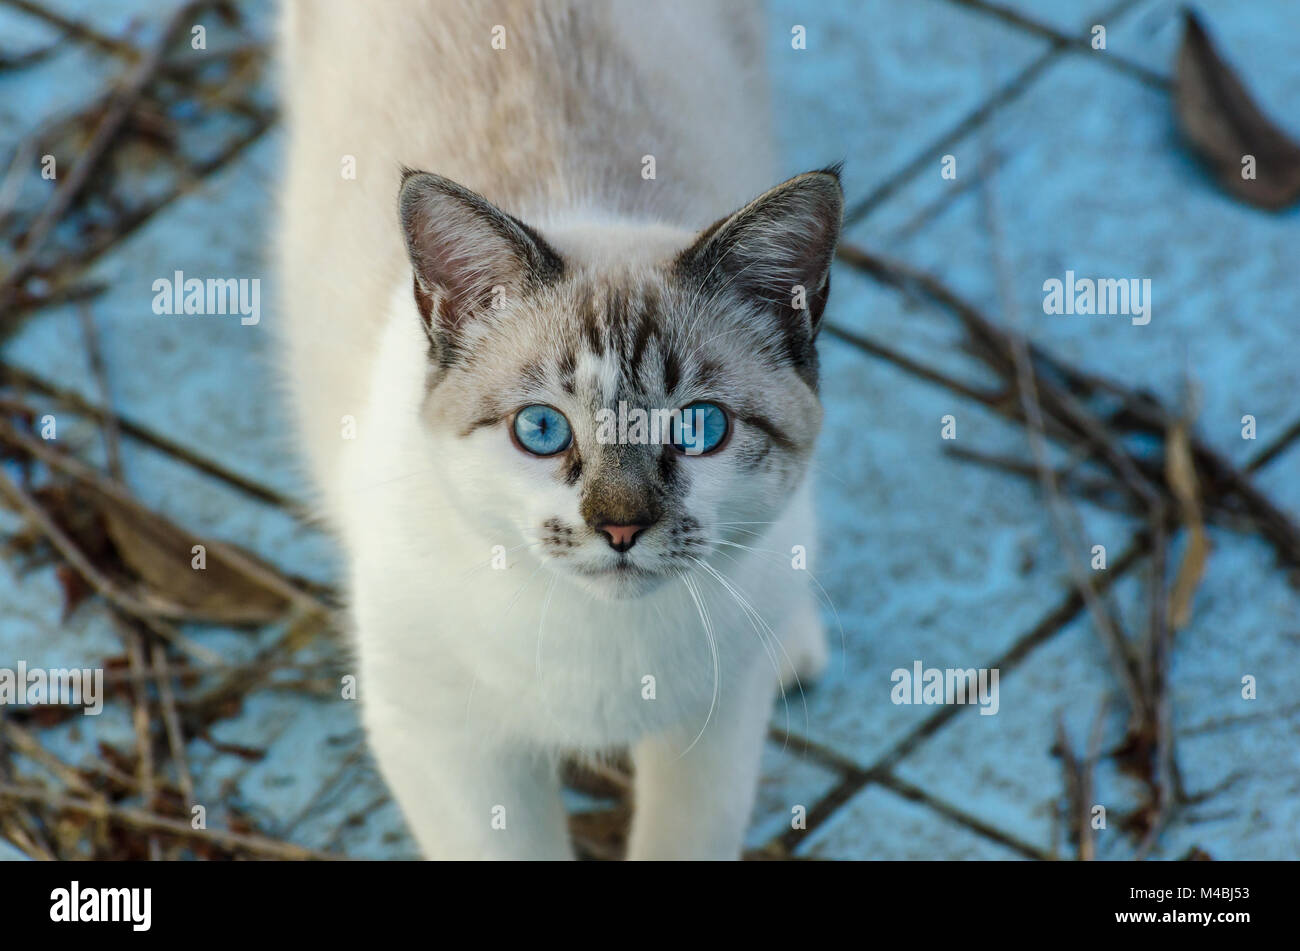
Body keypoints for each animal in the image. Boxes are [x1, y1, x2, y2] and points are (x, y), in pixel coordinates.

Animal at [278, 0, 837, 862]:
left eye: (699, 427)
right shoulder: (447, 745)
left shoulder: (713, 733)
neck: (600, 645)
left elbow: (684, 838)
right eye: (542, 429)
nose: (620, 527)